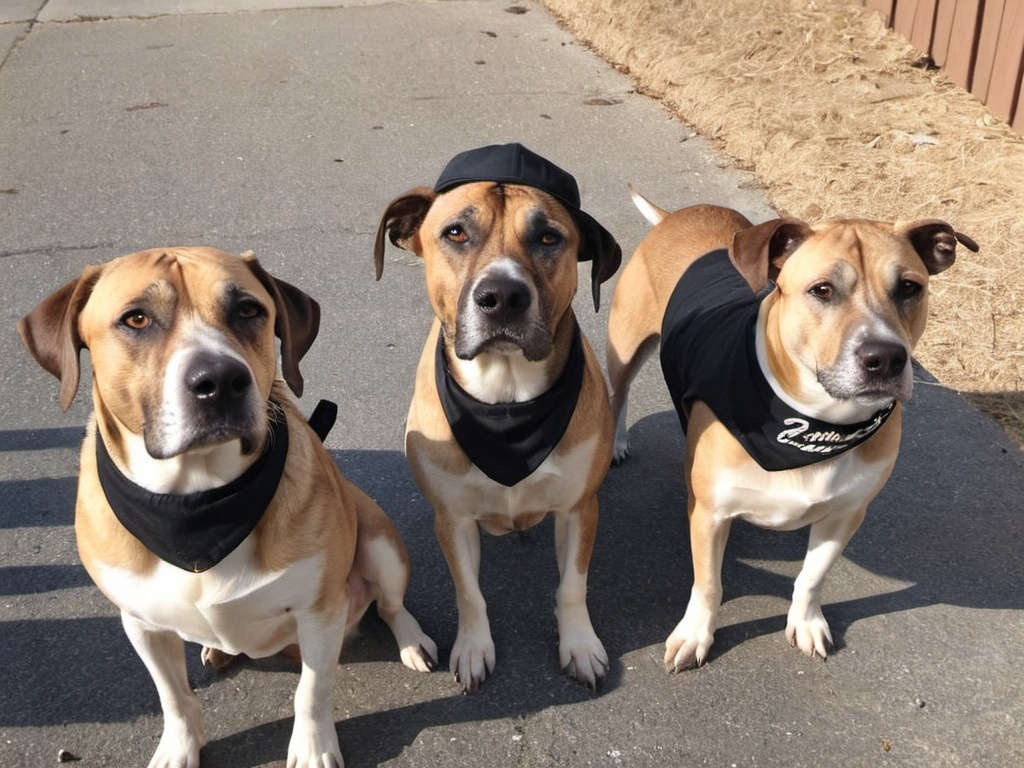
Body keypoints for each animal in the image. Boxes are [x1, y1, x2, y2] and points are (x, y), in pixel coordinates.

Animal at [18, 249, 436, 768]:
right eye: (136, 318)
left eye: (248, 310)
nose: (220, 380)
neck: (197, 501)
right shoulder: (141, 624)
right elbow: (173, 697)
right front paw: (180, 747)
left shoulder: (320, 612)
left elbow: (312, 691)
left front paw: (313, 748)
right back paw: (217, 651)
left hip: (380, 542)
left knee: (392, 604)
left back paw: (412, 641)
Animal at [372, 143, 618, 692]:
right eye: (455, 233)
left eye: (548, 236)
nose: (502, 296)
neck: (506, 399)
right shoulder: (453, 518)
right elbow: (469, 592)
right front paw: (473, 648)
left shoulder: (580, 508)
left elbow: (572, 585)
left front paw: (579, 644)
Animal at [606, 189, 974, 671]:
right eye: (822, 290)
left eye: (910, 287)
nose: (885, 358)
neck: (816, 424)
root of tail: (677, 216)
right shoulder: (710, 515)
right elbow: (709, 584)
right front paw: (696, 634)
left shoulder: (846, 514)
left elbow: (812, 576)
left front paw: (805, 621)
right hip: (625, 345)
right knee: (618, 394)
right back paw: (616, 442)